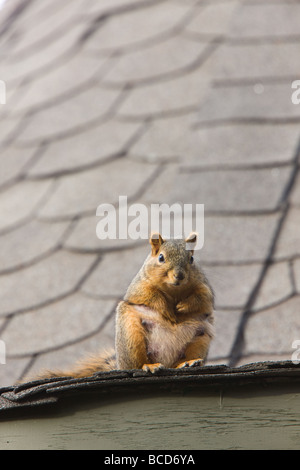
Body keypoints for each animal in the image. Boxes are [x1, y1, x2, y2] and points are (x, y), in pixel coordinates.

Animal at [34, 233, 213, 380]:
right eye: (161, 258)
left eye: (191, 259)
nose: (179, 276)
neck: (174, 290)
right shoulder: (140, 286)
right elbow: (151, 297)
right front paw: (167, 311)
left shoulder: (203, 286)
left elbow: (203, 298)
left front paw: (182, 307)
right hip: (131, 335)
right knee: (137, 364)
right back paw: (150, 366)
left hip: (201, 338)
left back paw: (187, 363)